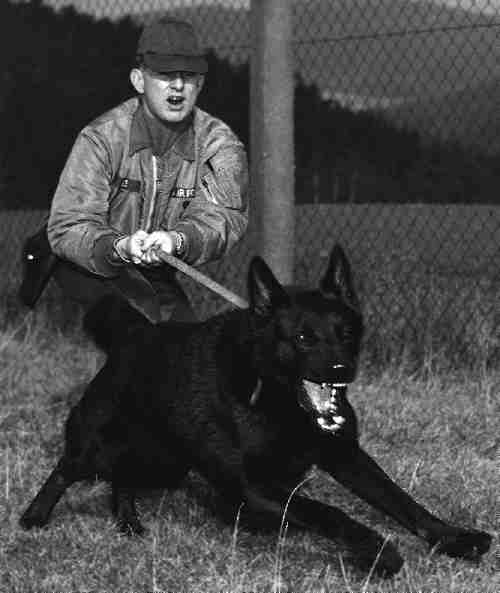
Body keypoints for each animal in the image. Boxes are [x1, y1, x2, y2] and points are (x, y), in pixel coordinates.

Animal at [20, 246, 492, 580]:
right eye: (303, 338)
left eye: (347, 332)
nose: (342, 370)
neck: (275, 397)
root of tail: (135, 334)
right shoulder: (252, 485)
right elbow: (331, 512)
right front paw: (378, 552)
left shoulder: (345, 456)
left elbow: (401, 500)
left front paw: (454, 539)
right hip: (97, 445)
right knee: (66, 468)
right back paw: (34, 517)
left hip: (164, 461)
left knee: (124, 477)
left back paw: (129, 523)